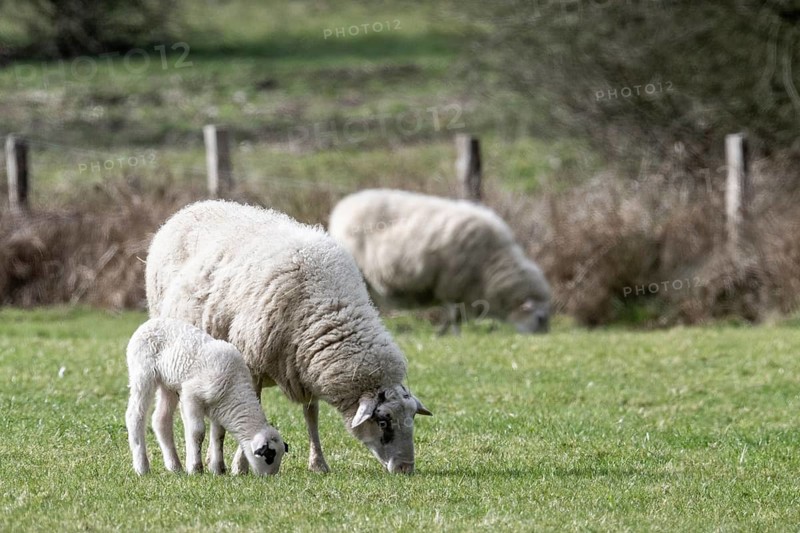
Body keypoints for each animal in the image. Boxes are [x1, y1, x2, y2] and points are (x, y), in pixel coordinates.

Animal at [125, 317, 288, 476]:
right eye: (270, 456)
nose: (271, 476)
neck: (233, 388)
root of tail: (149, 322)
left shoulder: (219, 407)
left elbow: (219, 435)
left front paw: (217, 469)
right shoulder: (190, 395)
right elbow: (198, 432)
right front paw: (196, 469)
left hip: (168, 384)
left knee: (161, 419)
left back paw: (175, 466)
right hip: (142, 373)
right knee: (135, 415)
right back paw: (142, 468)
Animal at [145, 200, 432, 474]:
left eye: (412, 419)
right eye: (383, 422)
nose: (406, 468)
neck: (329, 306)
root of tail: (191, 208)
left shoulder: (306, 362)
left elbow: (311, 414)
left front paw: (318, 463)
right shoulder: (253, 363)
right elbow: (254, 405)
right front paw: (241, 465)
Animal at [328, 189, 551, 334]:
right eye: (540, 318)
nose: (546, 335)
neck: (492, 263)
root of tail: (342, 208)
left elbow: (456, 316)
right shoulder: (452, 286)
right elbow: (455, 316)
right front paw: (446, 335)